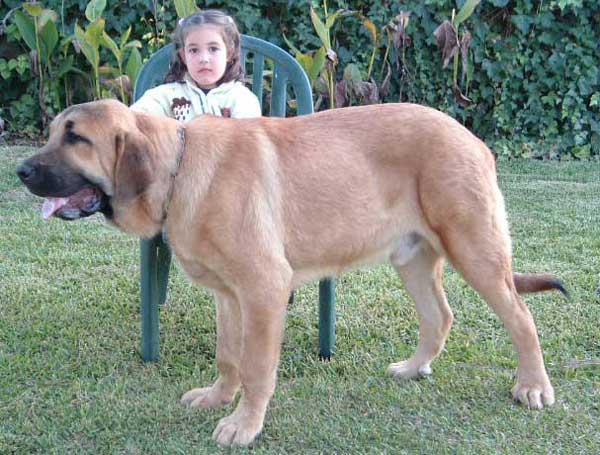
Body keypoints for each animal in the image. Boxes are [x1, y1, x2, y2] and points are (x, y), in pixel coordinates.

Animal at [16, 100, 564, 446]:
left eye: (77, 138)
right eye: (53, 133)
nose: (20, 171)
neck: (179, 168)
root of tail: (474, 139)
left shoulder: (264, 289)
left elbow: (256, 367)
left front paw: (244, 424)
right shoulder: (229, 295)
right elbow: (228, 357)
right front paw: (218, 398)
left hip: (476, 250)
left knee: (521, 318)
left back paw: (533, 386)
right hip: (411, 257)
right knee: (440, 316)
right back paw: (413, 368)